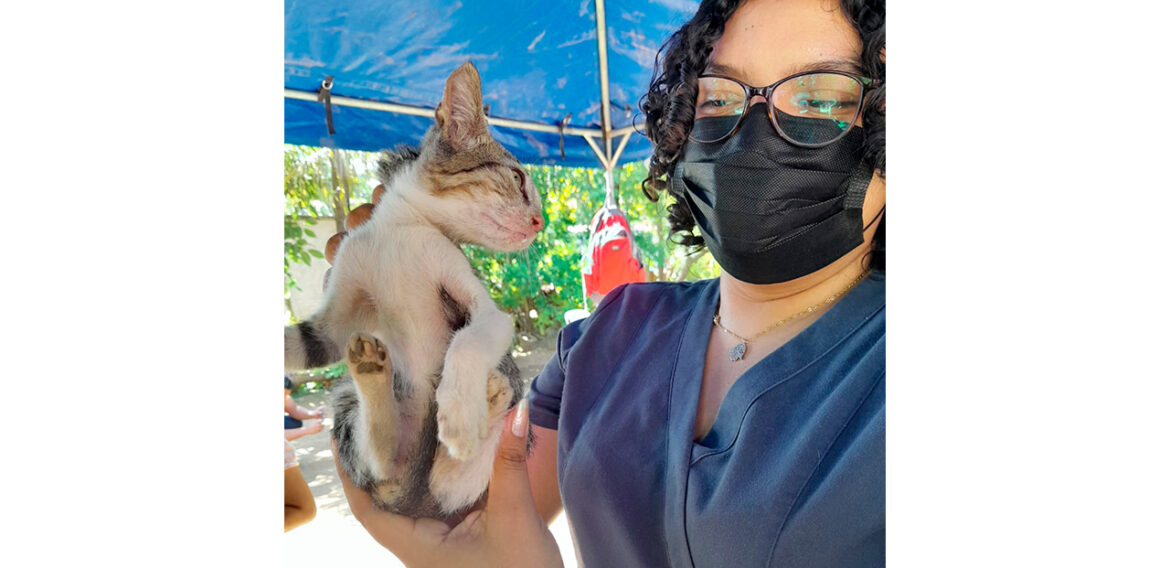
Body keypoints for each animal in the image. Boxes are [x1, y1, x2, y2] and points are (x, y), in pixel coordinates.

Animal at [283, 62, 542, 522]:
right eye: (516, 177)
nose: (541, 221)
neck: (400, 231)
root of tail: (415, 505)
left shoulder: (482, 307)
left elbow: (469, 341)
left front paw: (458, 413)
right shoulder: (334, 322)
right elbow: (304, 343)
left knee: (441, 480)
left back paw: (485, 404)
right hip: (346, 401)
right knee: (385, 465)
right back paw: (374, 377)